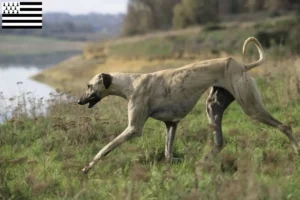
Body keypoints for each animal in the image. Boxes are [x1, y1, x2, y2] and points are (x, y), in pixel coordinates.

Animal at [78, 37, 300, 173]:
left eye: (89, 86)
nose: (79, 101)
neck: (131, 83)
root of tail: (241, 65)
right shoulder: (171, 124)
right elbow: (168, 154)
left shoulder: (133, 129)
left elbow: (105, 149)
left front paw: (87, 167)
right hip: (213, 107)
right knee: (219, 142)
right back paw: (203, 163)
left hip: (251, 107)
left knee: (284, 126)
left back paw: (296, 150)